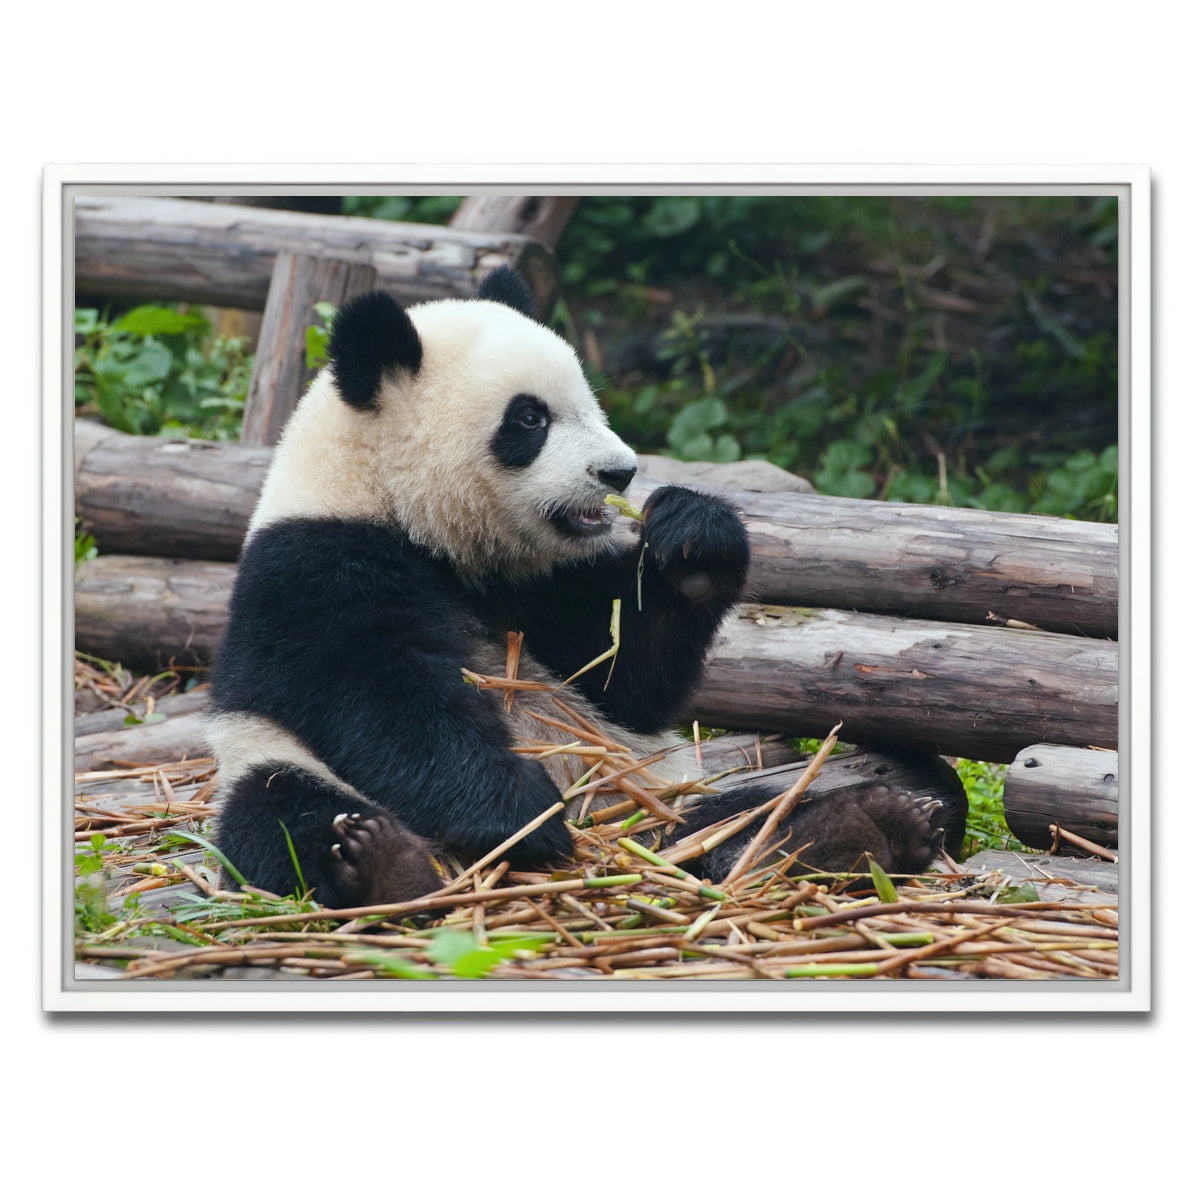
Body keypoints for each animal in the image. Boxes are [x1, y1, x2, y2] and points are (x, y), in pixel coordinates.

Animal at [207, 266, 965, 907]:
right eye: (530, 418)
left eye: (589, 403)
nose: (619, 472)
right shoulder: (315, 566)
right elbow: (383, 699)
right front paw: (521, 815)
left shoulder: (540, 585)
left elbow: (621, 675)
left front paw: (694, 540)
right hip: (265, 759)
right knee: (283, 813)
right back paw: (382, 864)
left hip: (651, 792)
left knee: (734, 814)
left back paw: (857, 828)